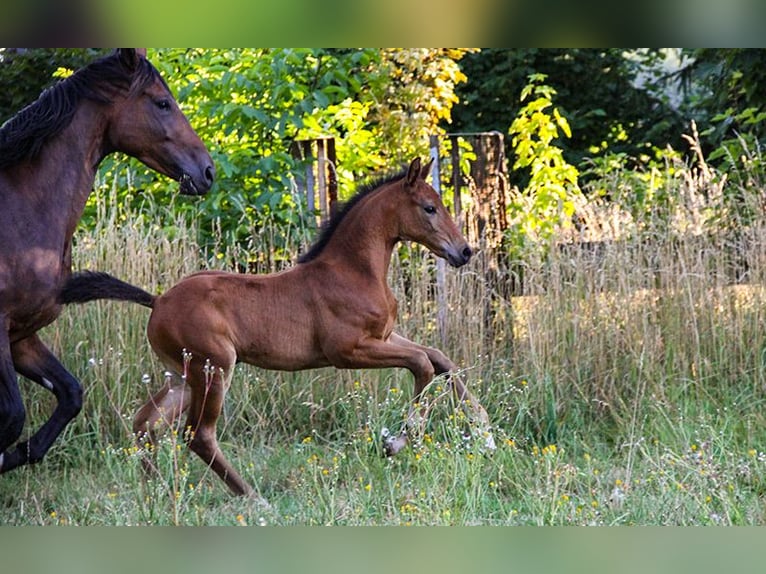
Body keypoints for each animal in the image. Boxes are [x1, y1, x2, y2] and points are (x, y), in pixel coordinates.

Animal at [0, 50, 216, 476]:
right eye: (162, 103)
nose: (207, 171)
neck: (20, 211)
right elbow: (14, 415)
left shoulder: (21, 335)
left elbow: (70, 395)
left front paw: (17, 455)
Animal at [58, 159, 492, 500]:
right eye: (429, 207)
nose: (464, 251)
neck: (353, 271)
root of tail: (158, 300)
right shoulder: (348, 350)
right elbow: (422, 364)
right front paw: (396, 443)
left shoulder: (382, 337)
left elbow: (439, 358)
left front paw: (485, 432)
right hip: (214, 367)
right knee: (197, 434)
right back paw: (252, 498)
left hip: (181, 375)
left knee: (147, 423)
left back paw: (158, 492)